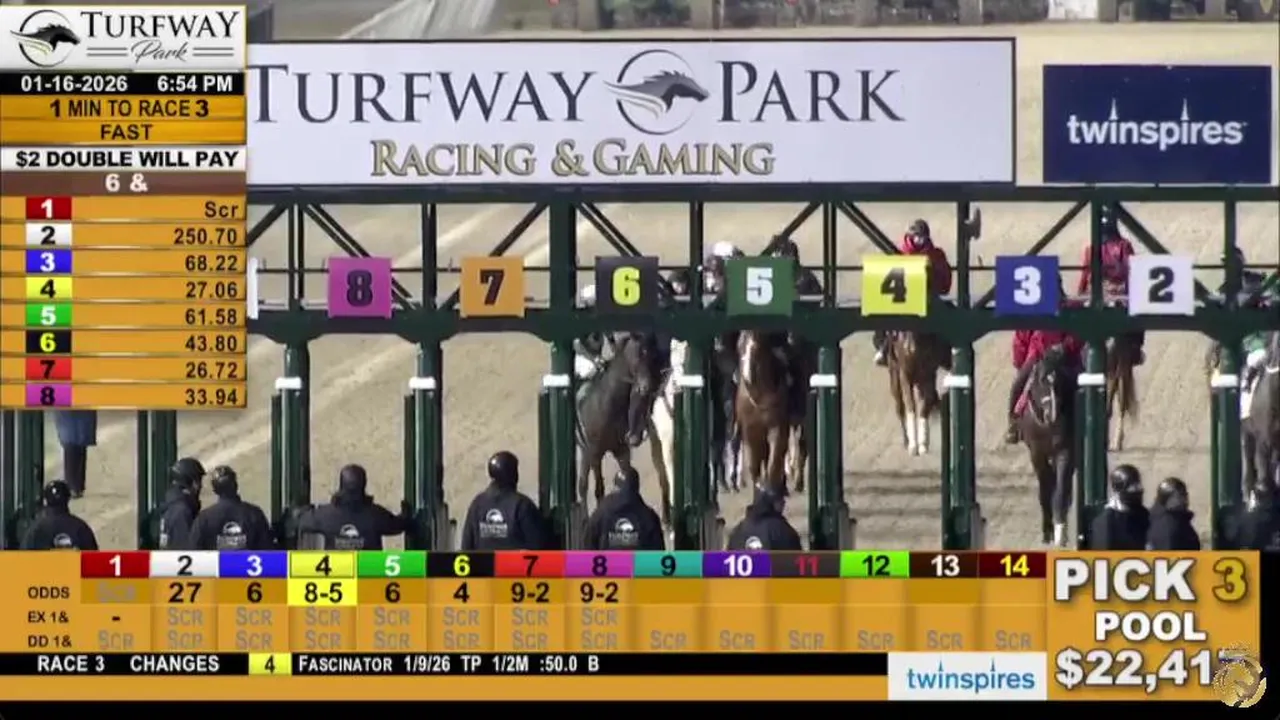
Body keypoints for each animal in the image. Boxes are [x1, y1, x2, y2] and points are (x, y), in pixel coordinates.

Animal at [575, 332, 664, 506]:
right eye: (637, 355)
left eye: (651, 355)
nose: (646, 387)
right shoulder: (594, 453)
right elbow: (595, 489)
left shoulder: (622, 450)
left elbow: (627, 477)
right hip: (587, 452)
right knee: (583, 486)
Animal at [735, 330, 794, 496]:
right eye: (739, 347)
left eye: (756, 348)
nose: (747, 379)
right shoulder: (750, 430)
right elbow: (754, 464)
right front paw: (760, 488)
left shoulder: (777, 427)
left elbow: (774, 460)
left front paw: (772, 489)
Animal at [1014, 344, 1078, 547]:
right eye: (1041, 380)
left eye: (1060, 380)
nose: (1053, 414)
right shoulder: (1037, 454)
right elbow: (1045, 490)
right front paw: (1047, 531)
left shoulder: (1066, 450)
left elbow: (1061, 490)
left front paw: (1060, 531)